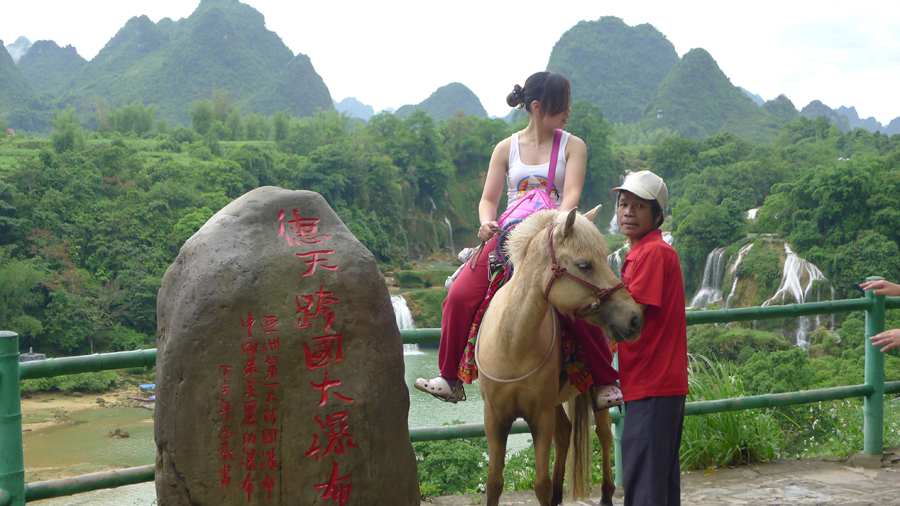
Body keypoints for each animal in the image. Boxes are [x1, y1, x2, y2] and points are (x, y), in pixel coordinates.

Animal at [478, 207, 640, 506]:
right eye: (585, 265)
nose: (634, 318)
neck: (512, 345)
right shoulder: (494, 418)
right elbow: (494, 482)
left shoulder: (540, 417)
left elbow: (540, 484)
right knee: (565, 433)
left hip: (592, 394)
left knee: (603, 434)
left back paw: (607, 494)